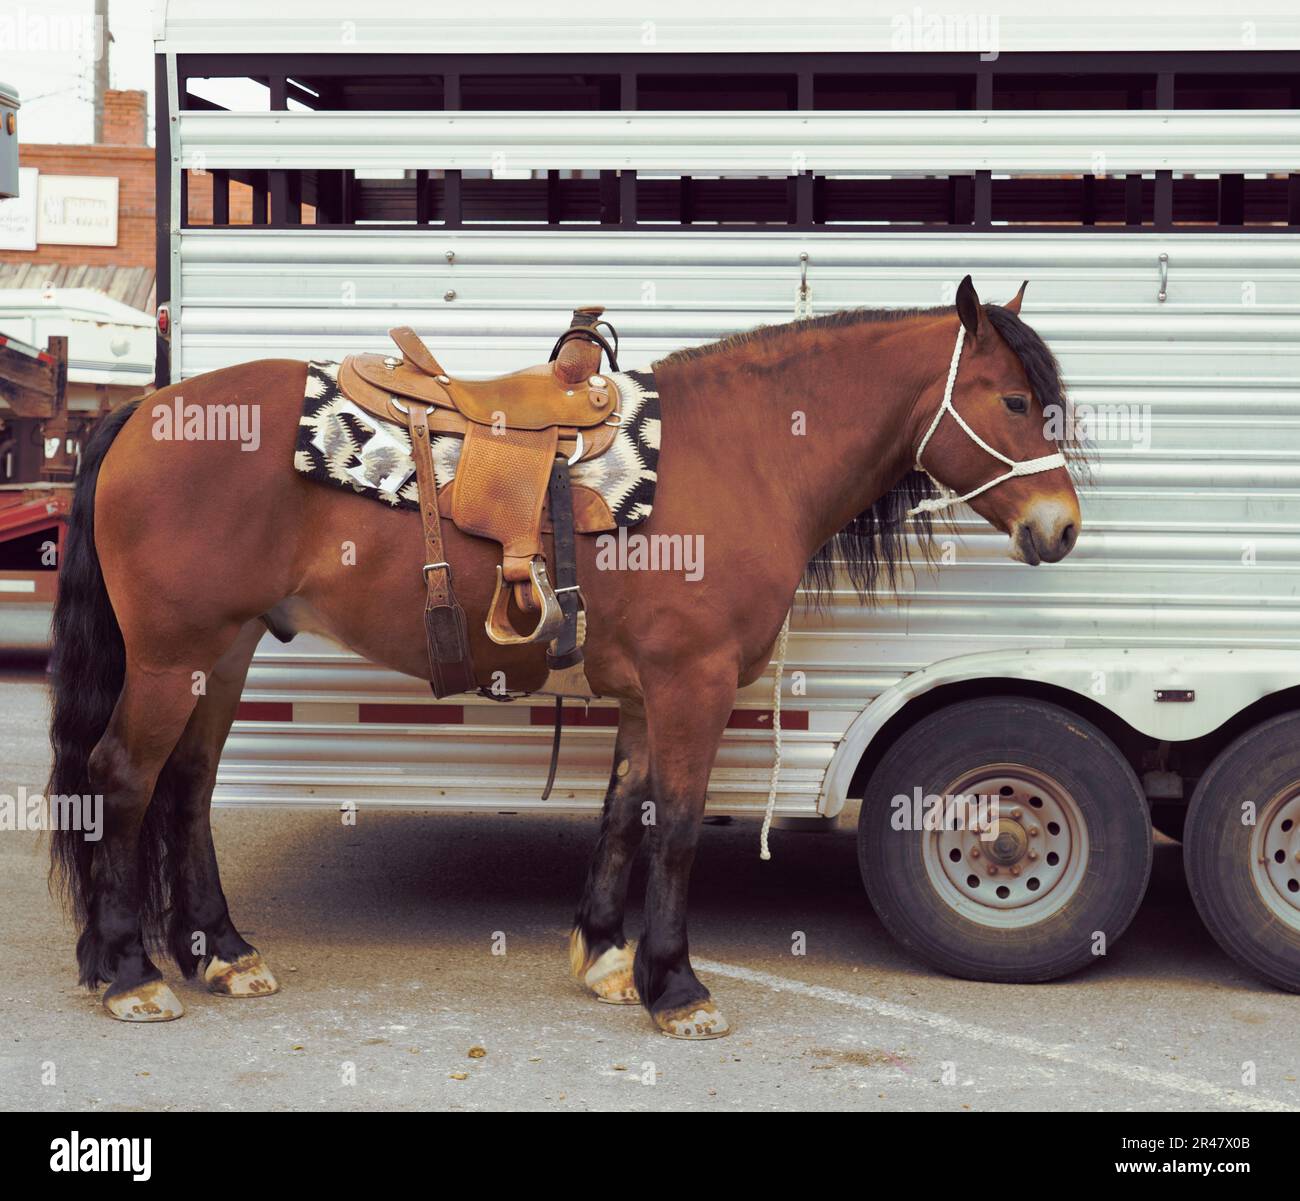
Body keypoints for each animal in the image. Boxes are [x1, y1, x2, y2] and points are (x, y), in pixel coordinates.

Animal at [48, 275, 1081, 1037]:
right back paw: (131, 970)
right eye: (1016, 399)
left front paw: (610, 960)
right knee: (123, 776)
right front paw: (678, 987)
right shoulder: (692, 683)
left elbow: (627, 810)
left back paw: (221, 951)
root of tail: (143, 412)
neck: (742, 455)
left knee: (188, 785)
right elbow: (676, 825)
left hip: (222, 653)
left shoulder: (646, 693)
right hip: (172, 655)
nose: (1061, 527)